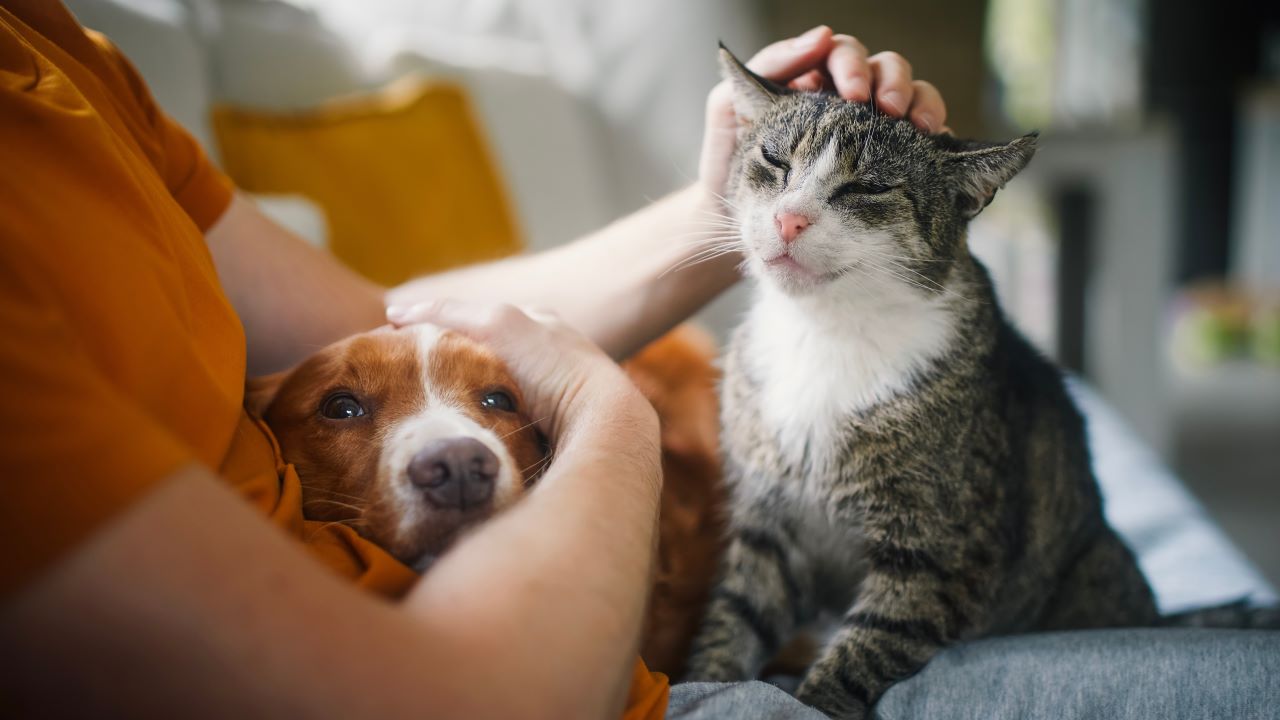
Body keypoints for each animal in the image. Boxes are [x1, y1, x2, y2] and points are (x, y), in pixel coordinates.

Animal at [691, 47, 1162, 712]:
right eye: (774, 160)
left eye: (867, 186)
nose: (788, 221)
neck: (828, 332)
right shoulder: (766, 525)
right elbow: (733, 621)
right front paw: (705, 682)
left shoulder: (940, 554)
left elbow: (859, 653)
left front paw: (811, 700)